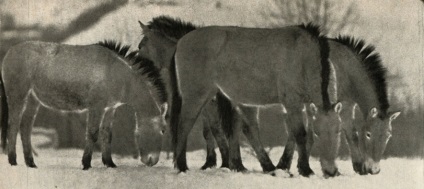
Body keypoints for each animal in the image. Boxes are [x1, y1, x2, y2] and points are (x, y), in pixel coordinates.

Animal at [0, 40, 169, 170]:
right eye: (162, 130)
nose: (152, 161)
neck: (116, 75)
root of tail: (9, 52)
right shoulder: (96, 107)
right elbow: (92, 134)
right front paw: (86, 164)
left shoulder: (110, 109)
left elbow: (107, 135)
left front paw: (110, 163)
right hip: (18, 96)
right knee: (13, 126)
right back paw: (13, 161)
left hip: (33, 100)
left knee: (25, 128)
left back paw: (30, 163)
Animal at [137, 16, 342, 177]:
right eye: (319, 132)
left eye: (338, 131)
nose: (331, 171)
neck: (304, 57)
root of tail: (181, 43)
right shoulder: (291, 102)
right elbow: (300, 134)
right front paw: (305, 169)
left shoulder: (302, 104)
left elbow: (296, 134)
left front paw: (290, 166)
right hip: (196, 96)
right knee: (183, 126)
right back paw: (181, 166)